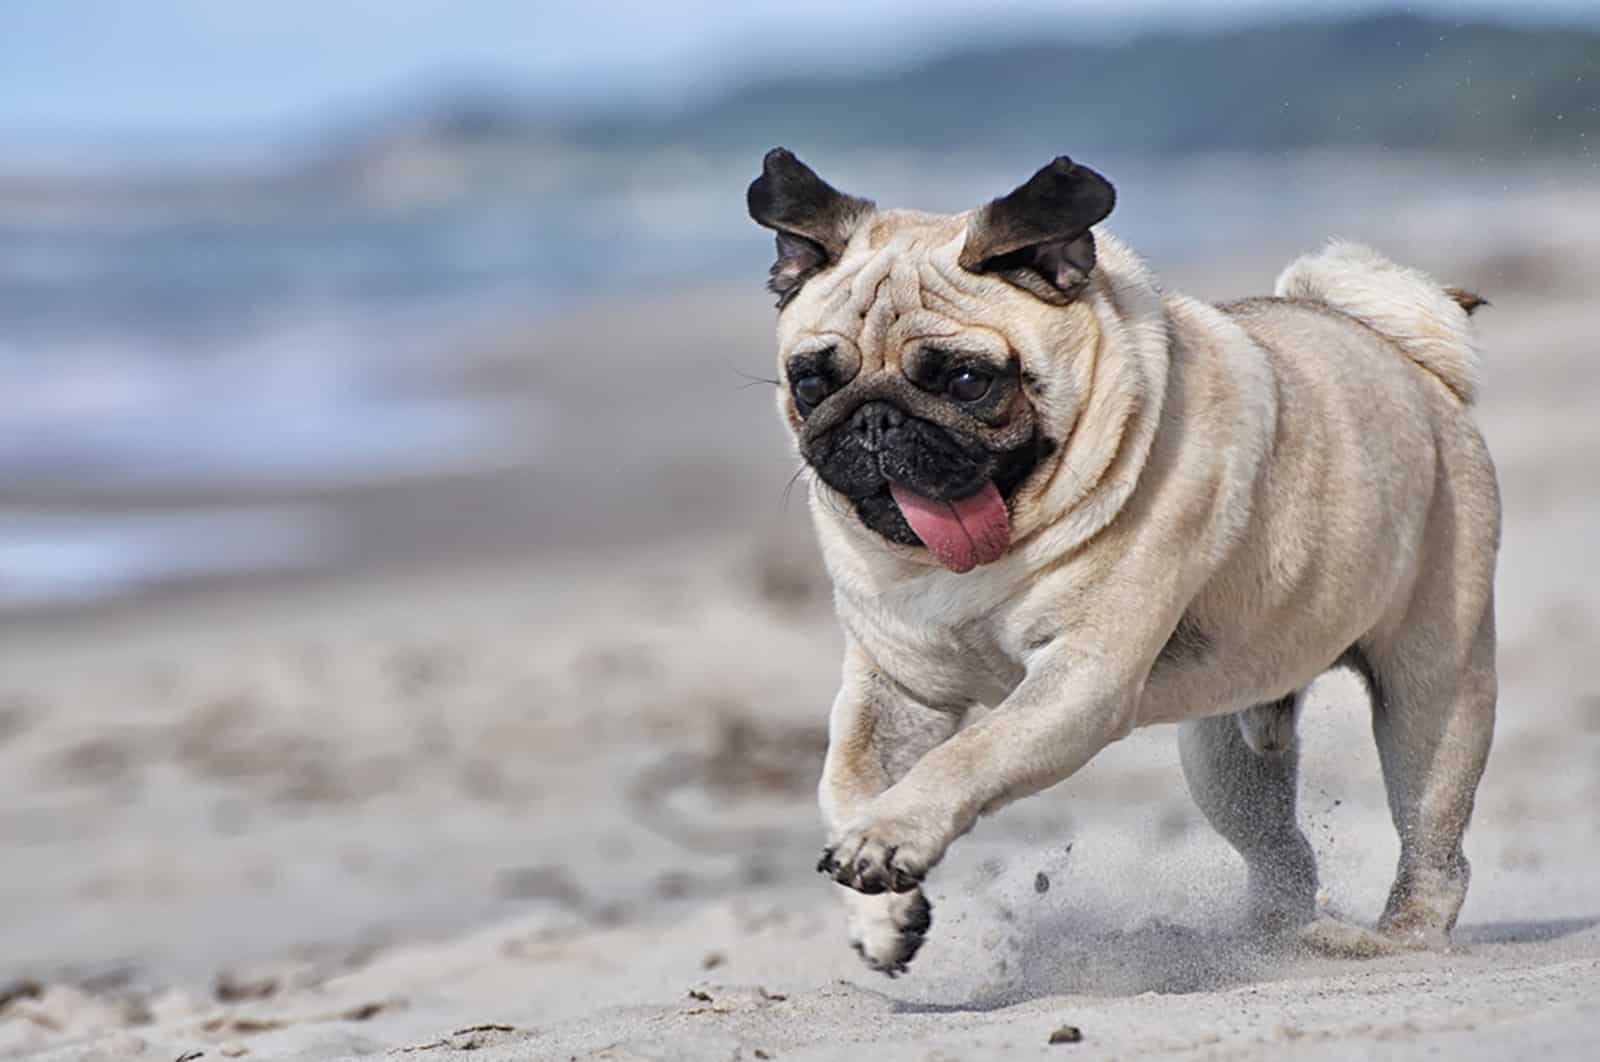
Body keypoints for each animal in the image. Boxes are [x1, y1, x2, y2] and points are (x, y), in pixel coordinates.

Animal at [748, 149, 1497, 978]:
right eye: (812, 381)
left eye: (969, 381)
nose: (875, 419)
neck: (974, 561)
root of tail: (1412, 361)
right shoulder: (896, 689)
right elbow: (844, 780)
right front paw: (880, 915)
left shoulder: (1080, 681)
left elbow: (974, 752)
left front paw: (892, 834)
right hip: (1224, 756)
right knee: (1283, 854)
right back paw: (1270, 939)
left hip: (1432, 698)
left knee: (1434, 841)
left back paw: (1391, 939)